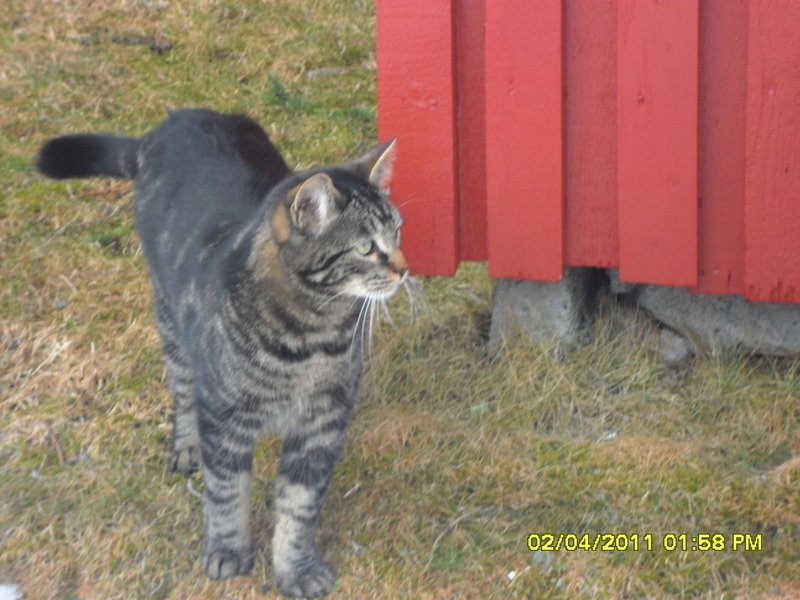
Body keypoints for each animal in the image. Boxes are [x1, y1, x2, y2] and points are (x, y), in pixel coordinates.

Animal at [36, 108, 407, 598]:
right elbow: (227, 493)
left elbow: (299, 506)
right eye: (366, 247)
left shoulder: (322, 424)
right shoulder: (227, 419)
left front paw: (296, 568)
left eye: (397, 232)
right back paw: (186, 447)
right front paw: (228, 551)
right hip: (171, 323)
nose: (404, 269)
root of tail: (174, 120)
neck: (309, 337)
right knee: (182, 391)